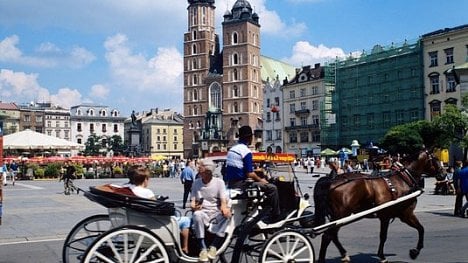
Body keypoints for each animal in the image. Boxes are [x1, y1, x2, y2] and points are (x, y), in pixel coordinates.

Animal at [314, 151, 442, 263]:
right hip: (341, 214)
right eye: (435, 158)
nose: (443, 173)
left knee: (333, 236)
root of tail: (331, 181)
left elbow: (417, 229)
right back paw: (323, 259)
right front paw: (414, 252)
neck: (403, 179)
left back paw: (344, 254)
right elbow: (419, 229)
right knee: (327, 236)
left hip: (338, 217)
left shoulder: (397, 216)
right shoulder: (405, 214)